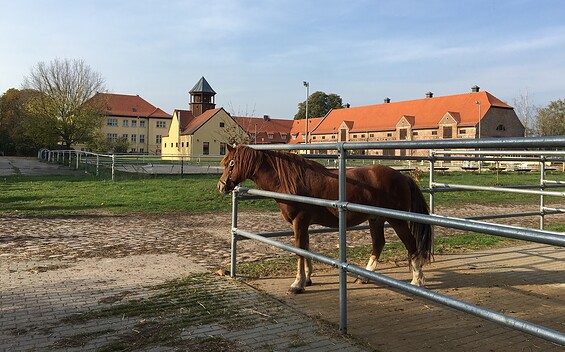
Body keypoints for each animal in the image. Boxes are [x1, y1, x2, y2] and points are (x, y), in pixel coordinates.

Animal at [216, 144, 432, 294]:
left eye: (230, 164)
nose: (221, 186)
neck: (289, 181)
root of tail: (403, 177)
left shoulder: (299, 221)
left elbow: (300, 250)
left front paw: (297, 284)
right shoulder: (303, 224)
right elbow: (306, 248)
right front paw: (307, 279)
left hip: (397, 220)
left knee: (410, 244)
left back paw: (417, 280)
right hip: (375, 219)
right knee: (378, 243)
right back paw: (364, 277)